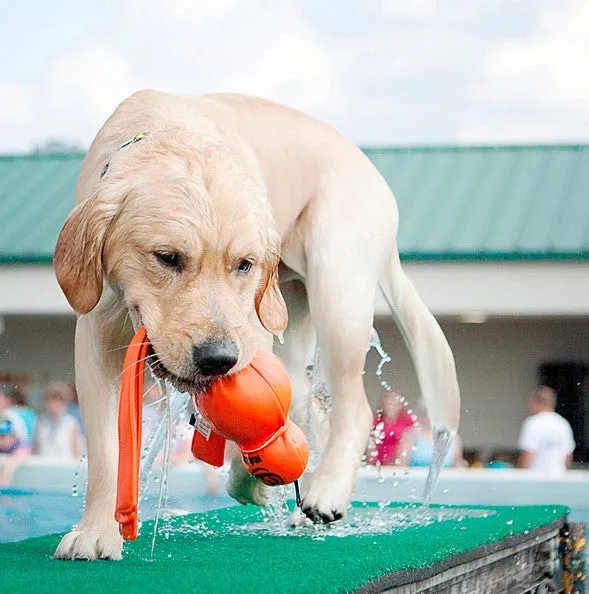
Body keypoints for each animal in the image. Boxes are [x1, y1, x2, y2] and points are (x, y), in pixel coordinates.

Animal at [52, 90, 458, 556]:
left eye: (244, 264)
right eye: (167, 257)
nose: (217, 359)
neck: (170, 129)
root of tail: (373, 172)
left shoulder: (251, 327)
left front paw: (253, 480)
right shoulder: (97, 328)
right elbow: (105, 447)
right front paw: (95, 532)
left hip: (337, 286)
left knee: (353, 406)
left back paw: (326, 491)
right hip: (296, 314)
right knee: (311, 405)